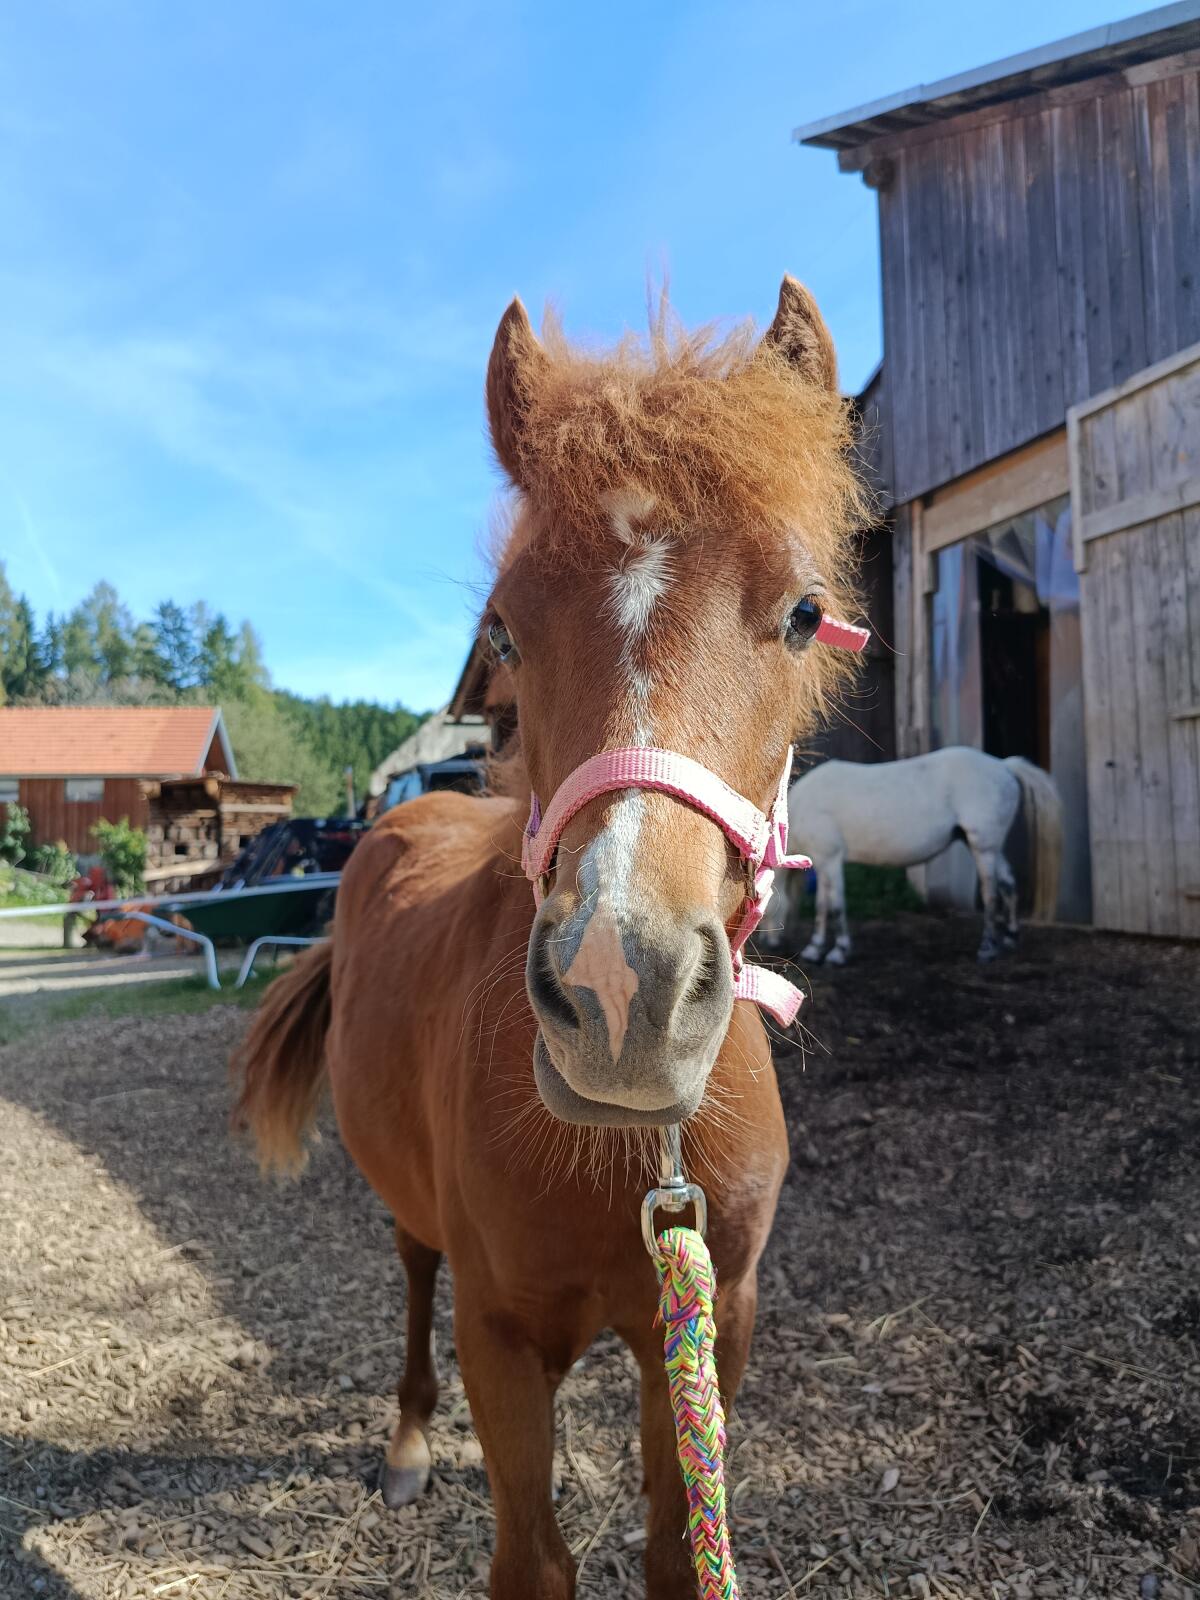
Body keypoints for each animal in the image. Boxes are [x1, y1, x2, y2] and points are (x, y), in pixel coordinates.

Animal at [232, 276, 869, 1600]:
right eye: (507, 631)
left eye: (805, 612)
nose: (622, 991)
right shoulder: (503, 1333)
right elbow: (533, 1557)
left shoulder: (712, 1317)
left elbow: (678, 1550)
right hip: (418, 1224)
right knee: (411, 1271)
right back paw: (409, 1444)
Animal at [764, 746, 1062, 965]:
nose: (766, 944)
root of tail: (1004, 765)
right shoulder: (825, 863)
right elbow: (823, 906)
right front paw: (815, 949)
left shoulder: (831, 860)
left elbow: (835, 906)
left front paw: (838, 952)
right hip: (987, 847)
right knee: (1008, 884)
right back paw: (1010, 938)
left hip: (984, 849)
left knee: (991, 895)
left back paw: (988, 948)